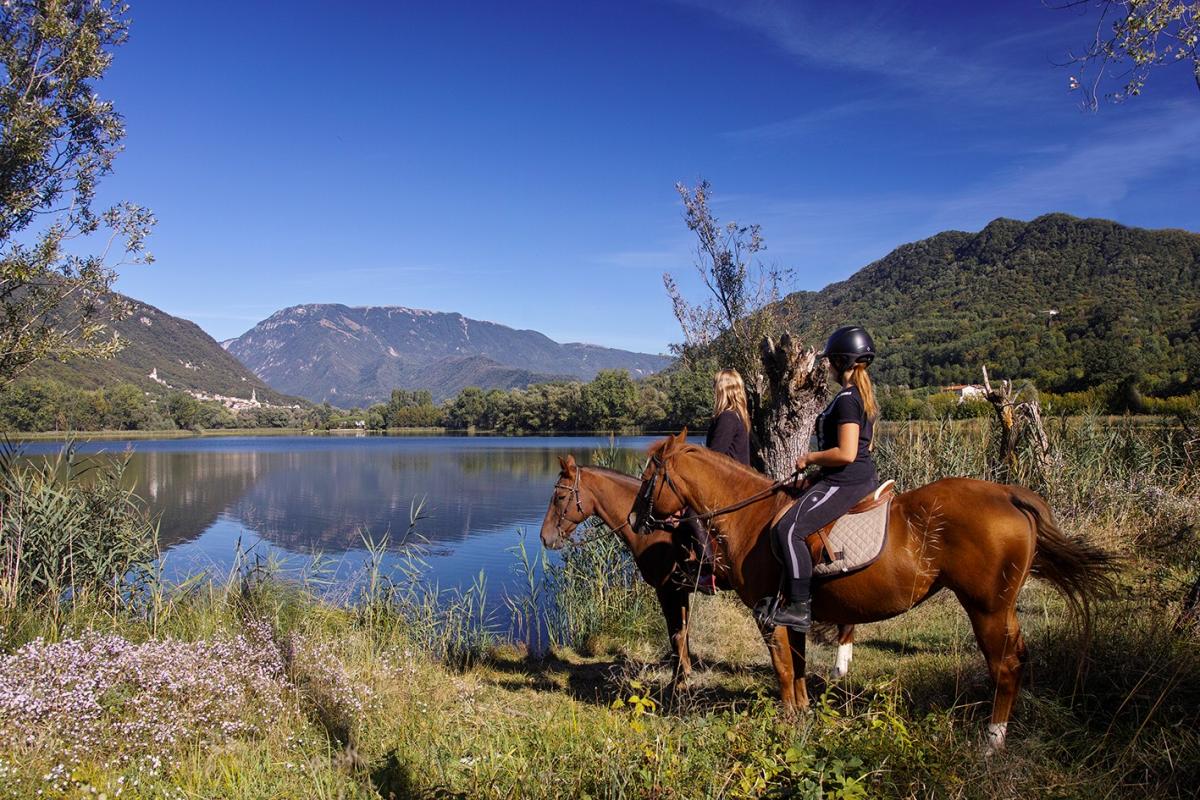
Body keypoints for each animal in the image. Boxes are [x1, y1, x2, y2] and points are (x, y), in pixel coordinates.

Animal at [540, 460, 859, 690]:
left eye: (560, 496)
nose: (545, 538)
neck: (654, 529)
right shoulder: (679, 590)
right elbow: (683, 633)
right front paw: (685, 673)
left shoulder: (667, 590)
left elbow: (676, 634)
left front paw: (678, 681)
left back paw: (840, 665)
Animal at [628, 431, 1113, 753]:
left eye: (649, 476)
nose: (635, 520)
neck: (753, 518)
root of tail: (1009, 494)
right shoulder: (792, 613)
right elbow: (799, 669)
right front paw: (804, 716)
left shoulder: (768, 618)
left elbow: (783, 670)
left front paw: (788, 725)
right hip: (1003, 608)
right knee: (1019, 657)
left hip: (986, 609)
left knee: (1005, 666)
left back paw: (992, 740)